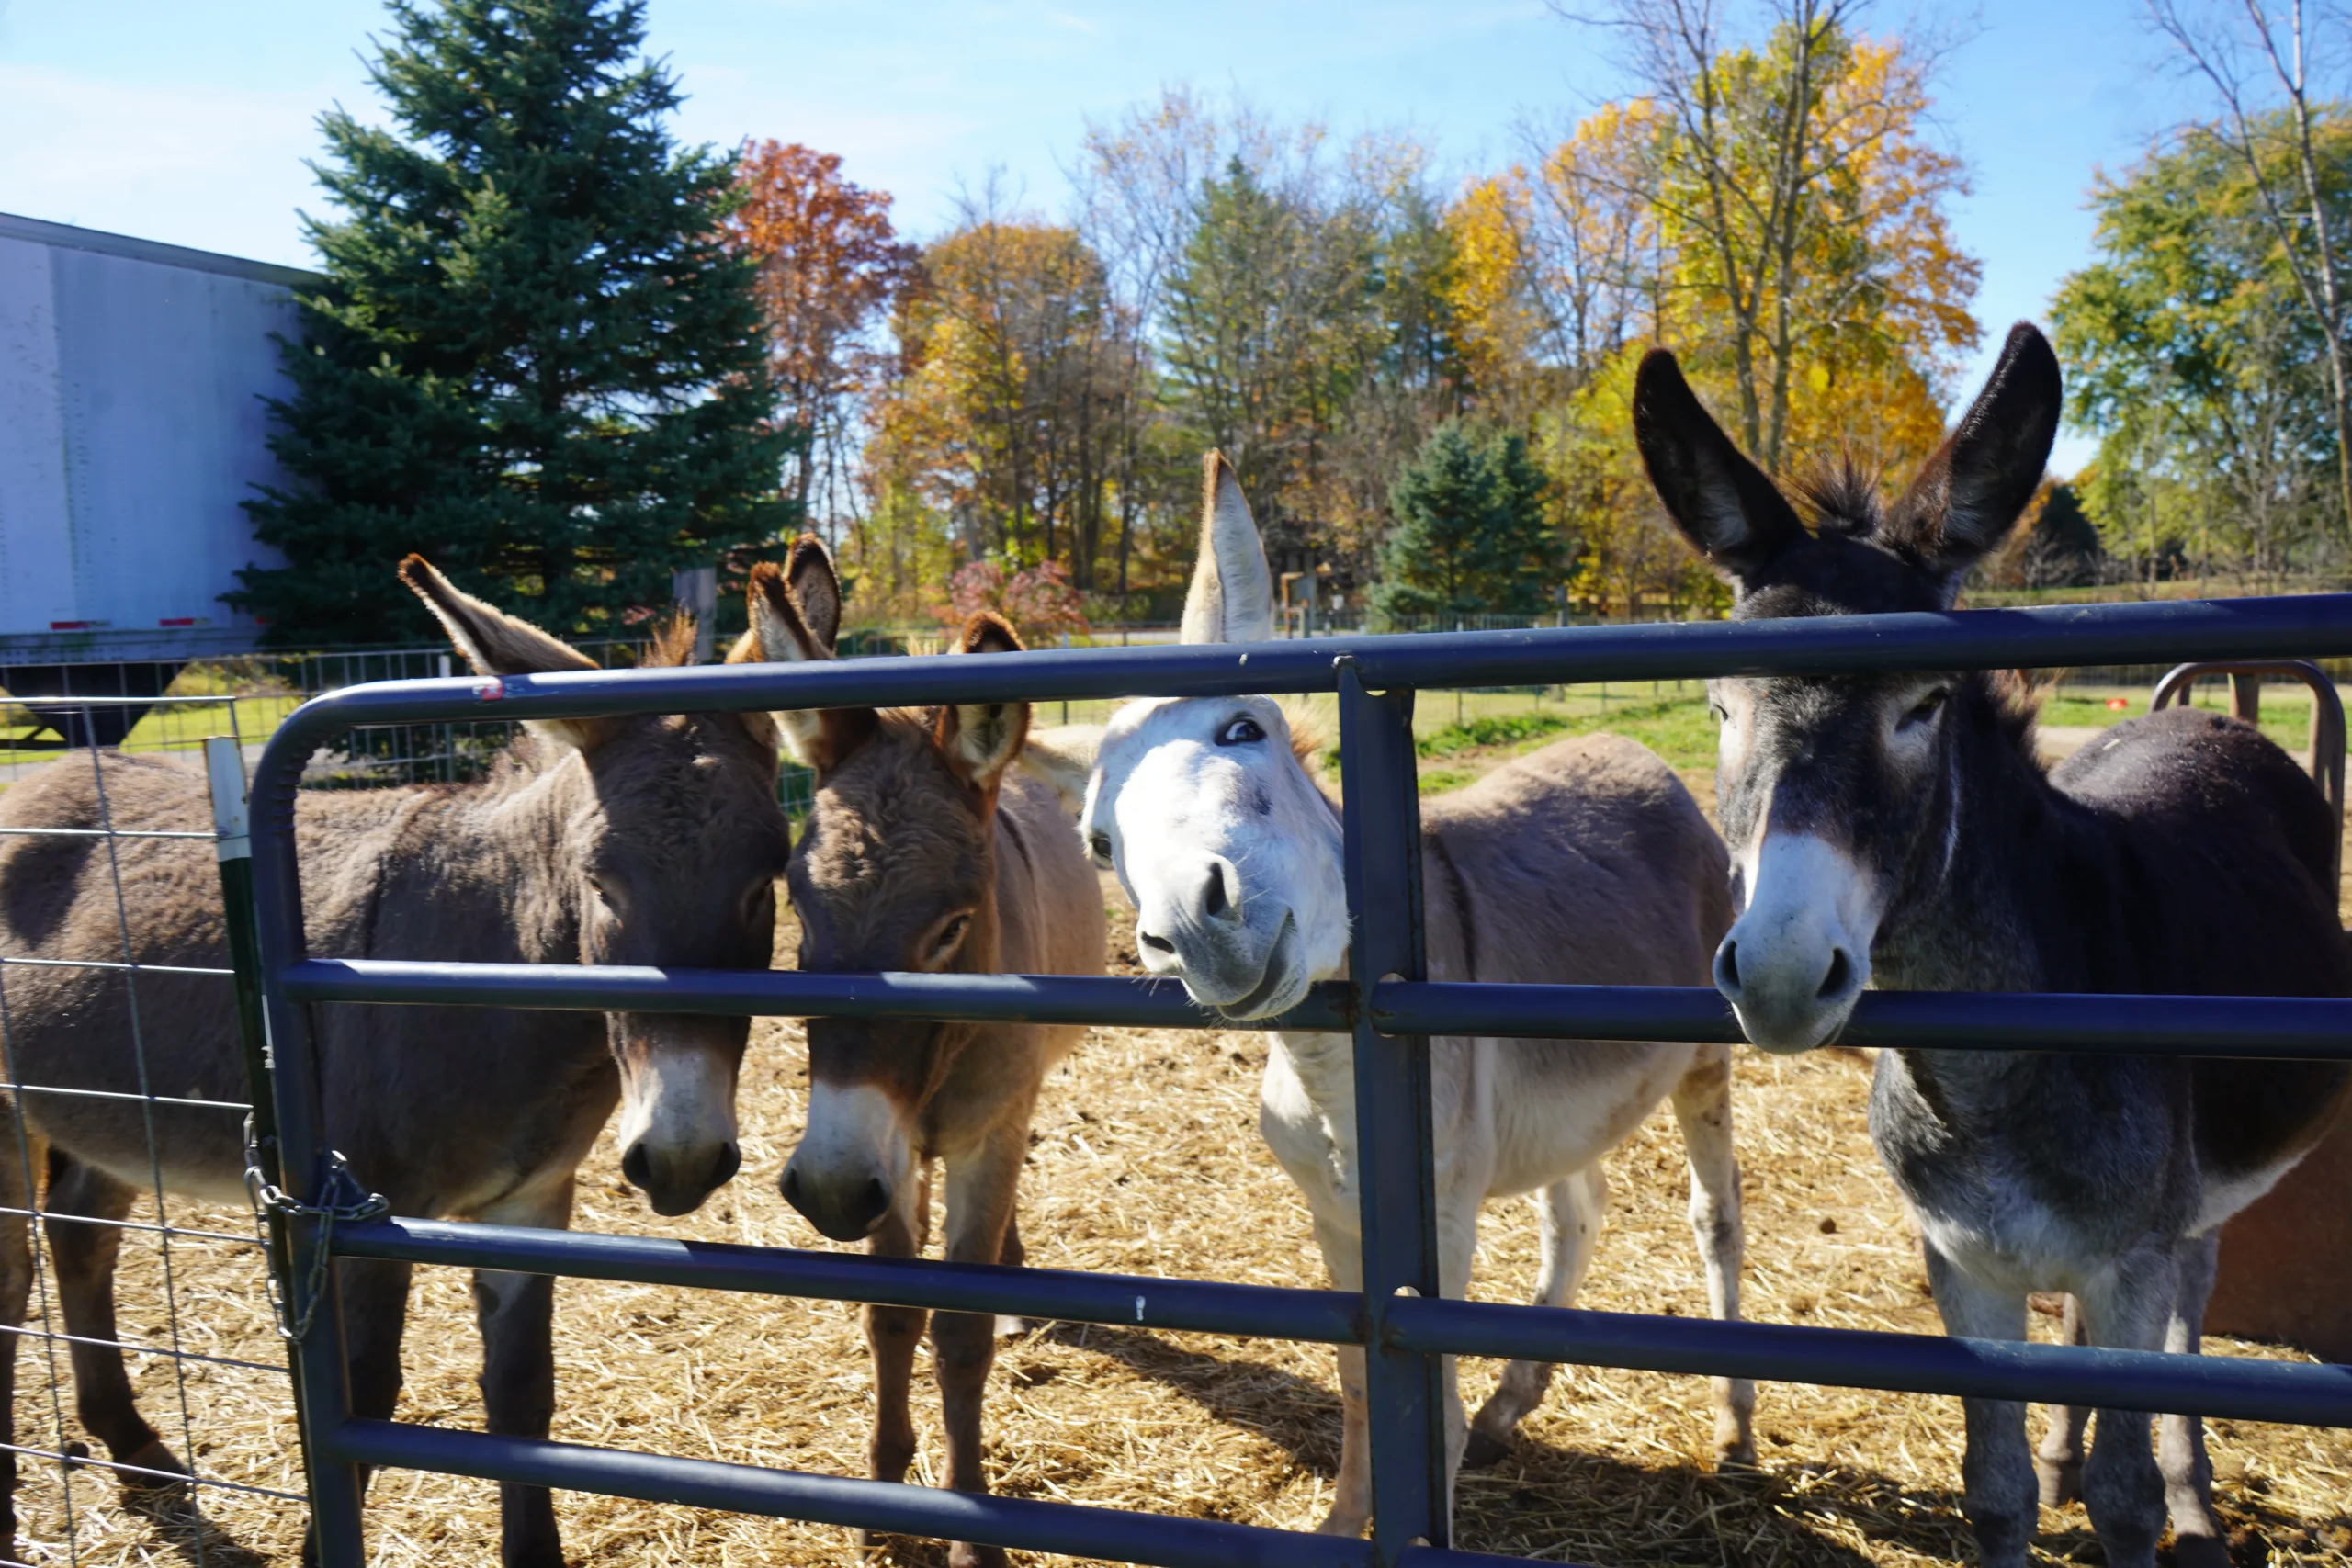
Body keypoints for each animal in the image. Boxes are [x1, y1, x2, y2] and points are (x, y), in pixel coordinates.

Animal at [0, 557, 792, 1567]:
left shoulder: (531, 1202)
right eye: (599, 882)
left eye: (767, 879)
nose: (682, 1158)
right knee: (13, 1269)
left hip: (107, 1108)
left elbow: (523, 1395)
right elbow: (364, 1400)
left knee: (79, 1236)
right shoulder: (353, 1210)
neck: (492, 963)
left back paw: (134, 1447)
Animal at [753, 540, 1107, 1568]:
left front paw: (970, 1527)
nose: (830, 1188)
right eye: (797, 901)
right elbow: (893, 1312)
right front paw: (883, 1491)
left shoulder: (983, 1130)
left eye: (950, 926)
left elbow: (959, 1330)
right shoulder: (887, 1145)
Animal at [1060, 453, 1754, 1540]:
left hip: (1707, 1058)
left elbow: (1429, 1403)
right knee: (1580, 1207)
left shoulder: (1441, 1211)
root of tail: (1633, 748)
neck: (1339, 1072)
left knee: (1715, 1216)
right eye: (1097, 842)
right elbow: (1357, 1379)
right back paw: (1517, 1398)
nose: (1202, 925)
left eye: (1242, 728)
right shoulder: (1334, 1215)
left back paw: (1733, 1428)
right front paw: (1344, 1526)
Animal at [1633, 321, 2352, 1568]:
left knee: (2192, 1303)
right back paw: (2074, 1450)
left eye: (1922, 705)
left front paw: (2150, 1496)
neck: (1986, 1078)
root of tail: (2212, 716)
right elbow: (1995, 1490)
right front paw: (2041, 1473)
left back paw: (2196, 1498)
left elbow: (2123, 1497)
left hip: (2186, 1219)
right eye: (1720, 709)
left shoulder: (2128, 1260)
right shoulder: (1961, 1261)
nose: (1777, 973)